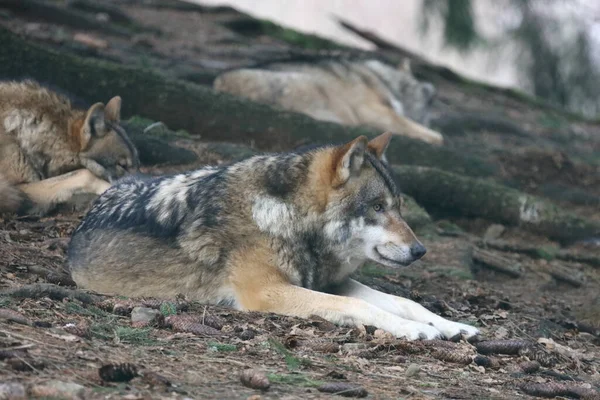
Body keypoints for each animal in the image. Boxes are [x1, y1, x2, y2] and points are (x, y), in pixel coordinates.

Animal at [67, 132, 478, 340]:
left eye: (399, 207)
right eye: (377, 207)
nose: (420, 250)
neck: (288, 217)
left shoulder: (328, 282)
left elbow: (403, 301)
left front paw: (451, 326)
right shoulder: (267, 291)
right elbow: (359, 306)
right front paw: (416, 330)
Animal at [213, 58, 442, 146]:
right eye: (429, 102)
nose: (432, 91)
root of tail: (220, 84)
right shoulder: (373, 110)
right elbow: (429, 133)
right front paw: (435, 137)